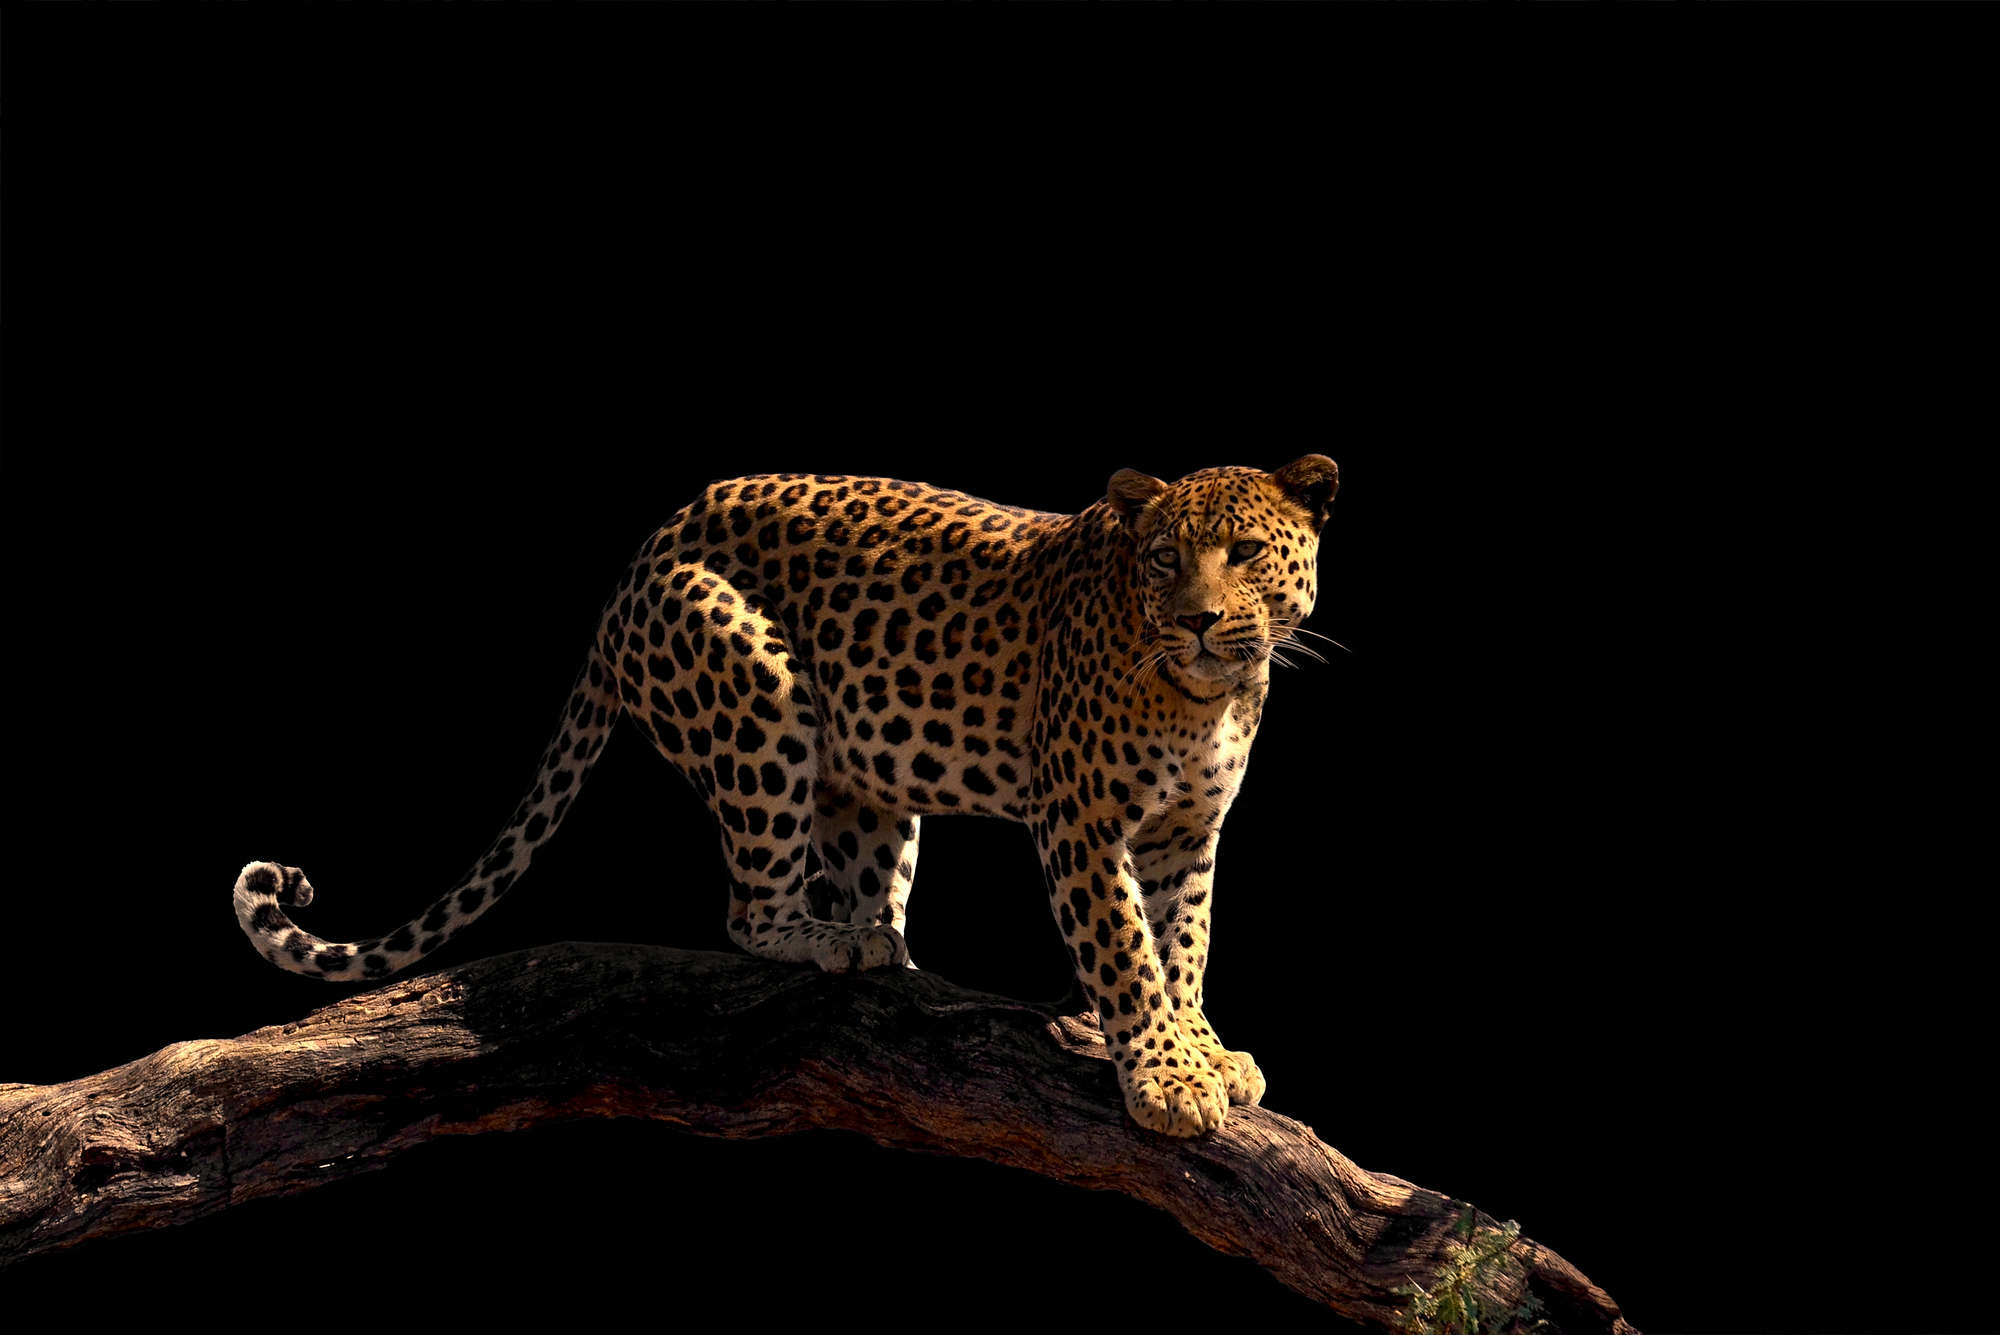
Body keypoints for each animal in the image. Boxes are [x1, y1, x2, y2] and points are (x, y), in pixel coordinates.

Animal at [233, 456, 1339, 1137]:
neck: (1210, 695)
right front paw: (1165, 1077)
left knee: (863, 874)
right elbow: (1125, 954)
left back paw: (883, 947)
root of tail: (653, 539)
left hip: (870, 778)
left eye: (1244, 552)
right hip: (755, 700)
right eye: (1163, 558)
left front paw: (1203, 1052)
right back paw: (827, 940)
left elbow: (1183, 946)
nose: (1198, 620)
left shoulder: (1184, 837)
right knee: (749, 909)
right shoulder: (1083, 824)